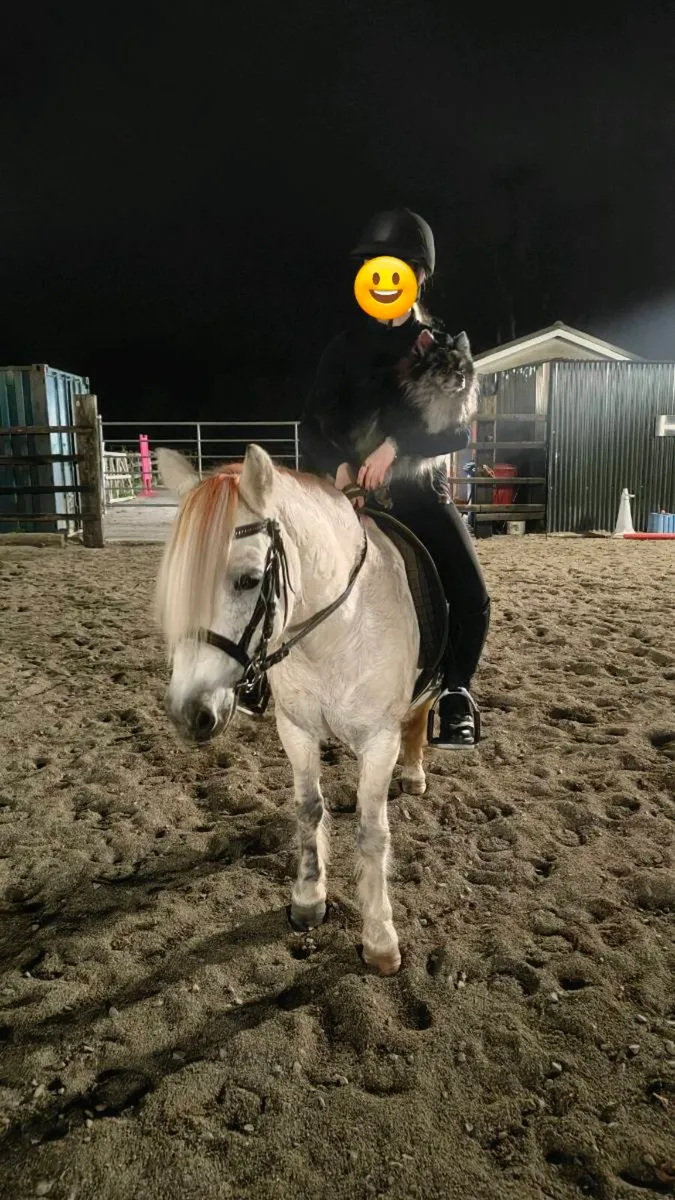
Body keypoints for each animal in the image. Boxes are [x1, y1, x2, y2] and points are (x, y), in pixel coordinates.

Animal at [154, 444, 437, 975]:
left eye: (249, 580)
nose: (188, 714)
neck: (337, 631)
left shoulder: (379, 741)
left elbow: (373, 833)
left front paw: (380, 939)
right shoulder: (296, 729)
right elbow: (308, 810)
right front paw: (309, 900)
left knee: (421, 715)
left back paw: (414, 773)